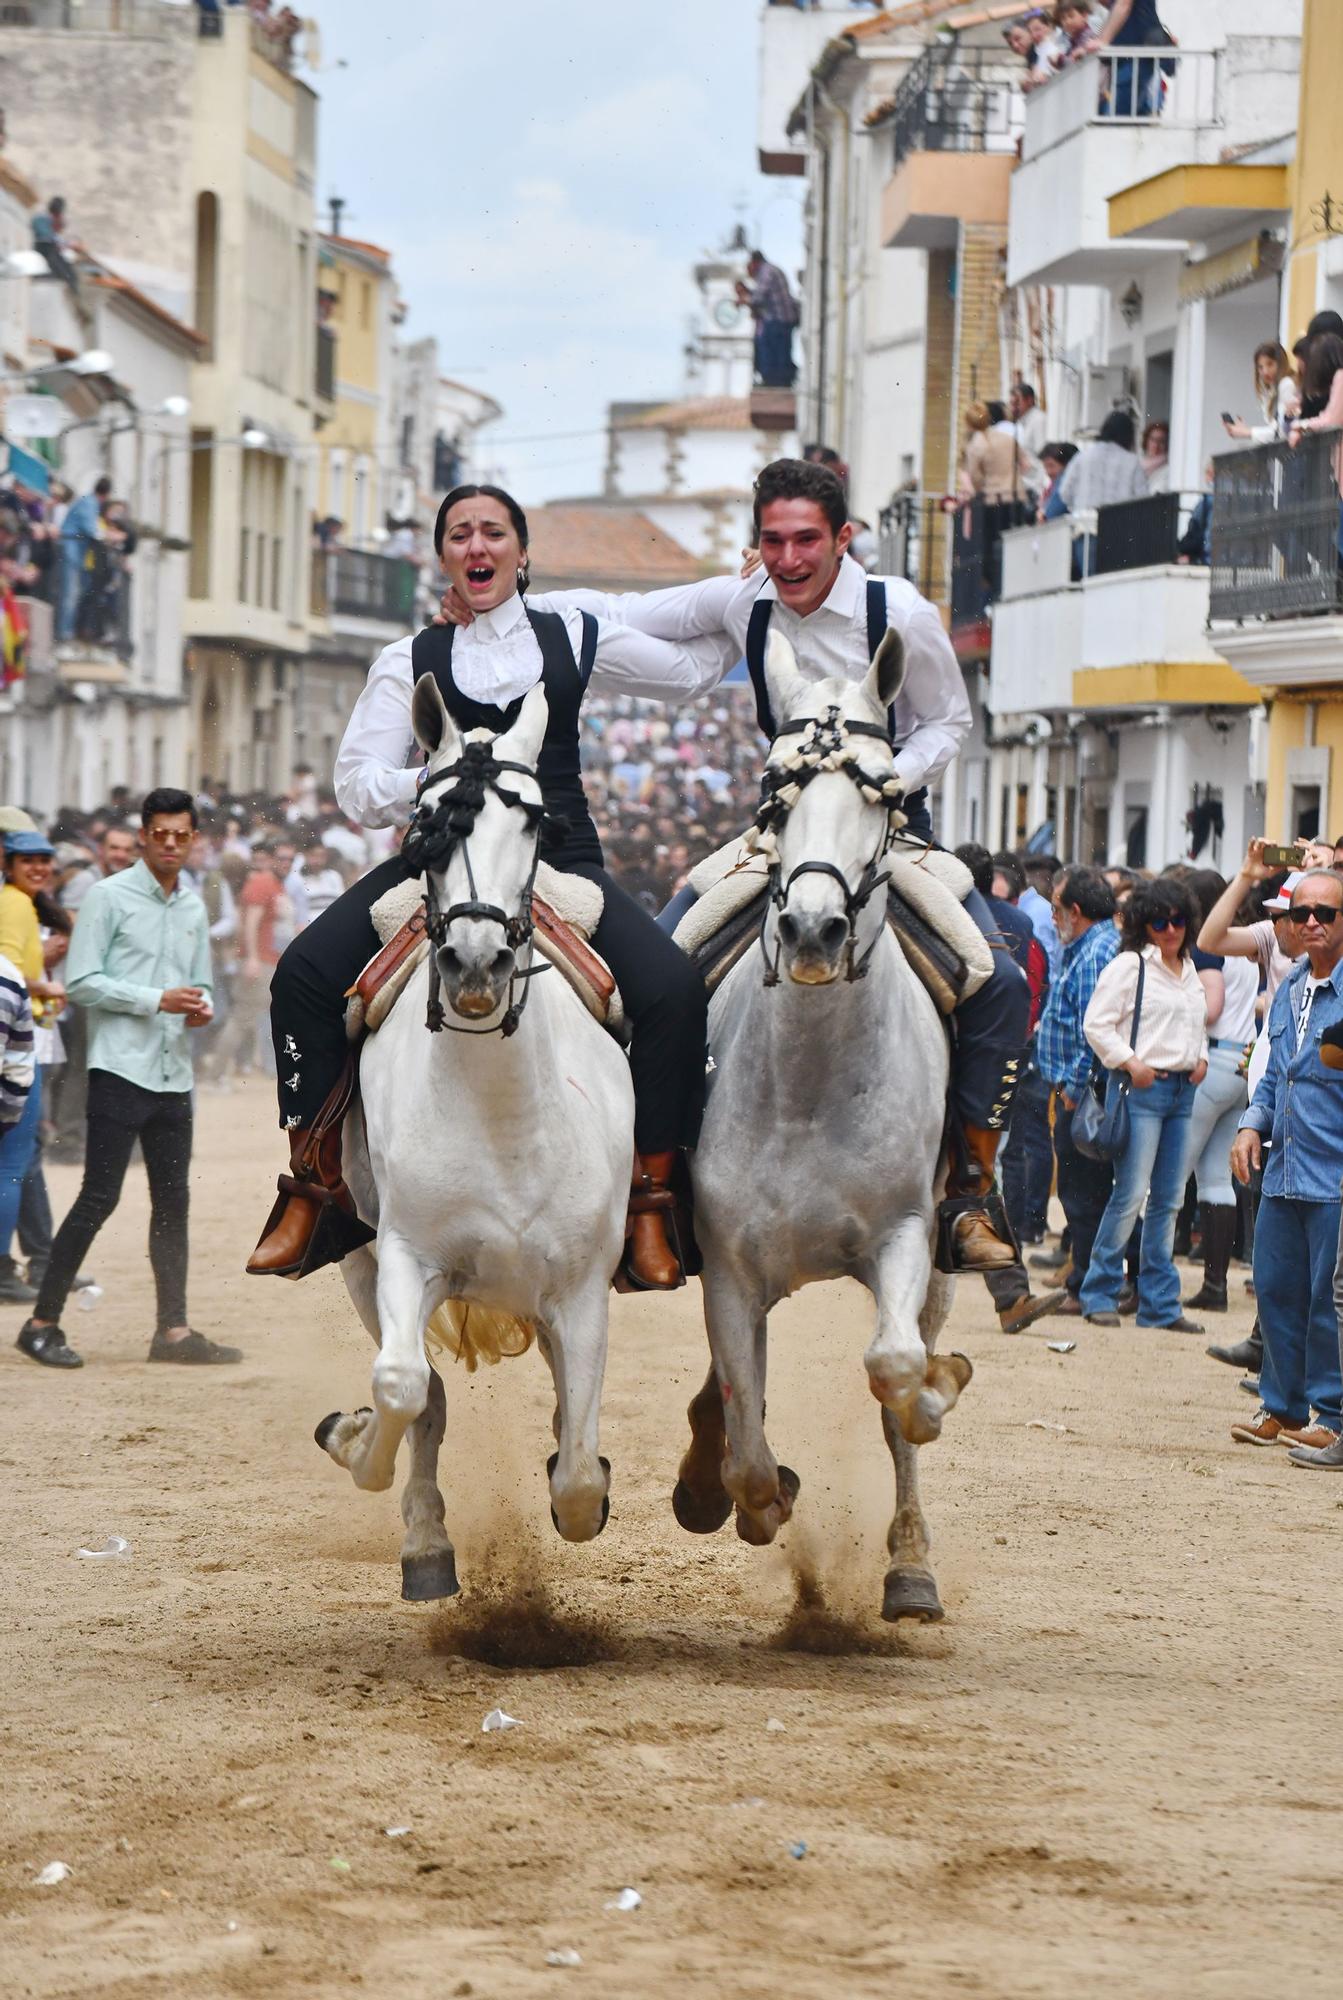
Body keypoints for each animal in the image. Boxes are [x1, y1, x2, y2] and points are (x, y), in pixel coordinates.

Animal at [315, 680, 635, 1600]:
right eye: (428, 824)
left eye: (531, 826)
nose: (475, 964)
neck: (503, 1117)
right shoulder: (404, 1256)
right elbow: (399, 1387)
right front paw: (356, 1442)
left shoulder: (582, 1291)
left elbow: (576, 1481)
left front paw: (584, 1476)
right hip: (359, 1260)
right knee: (423, 1395)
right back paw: (423, 1540)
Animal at [675, 636, 971, 1624]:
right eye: (775, 789)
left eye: (884, 793)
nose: (812, 930)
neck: (807, 1085)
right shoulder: (728, 1264)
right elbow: (746, 1436)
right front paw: (755, 1500)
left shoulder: (905, 1237)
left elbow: (895, 1369)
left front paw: (933, 1394)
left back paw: (910, 1564)